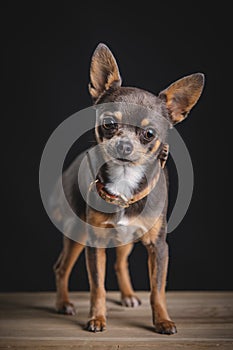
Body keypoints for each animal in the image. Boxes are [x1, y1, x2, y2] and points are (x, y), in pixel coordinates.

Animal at [52, 43, 204, 334]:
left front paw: (163, 320)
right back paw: (63, 303)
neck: (124, 181)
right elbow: (97, 287)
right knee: (61, 268)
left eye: (149, 134)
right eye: (109, 123)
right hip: (77, 232)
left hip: (127, 238)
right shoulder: (94, 244)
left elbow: (158, 290)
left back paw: (128, 296)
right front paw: (97, 318)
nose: (124, 145)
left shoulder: (158, 246)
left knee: (120, 262)